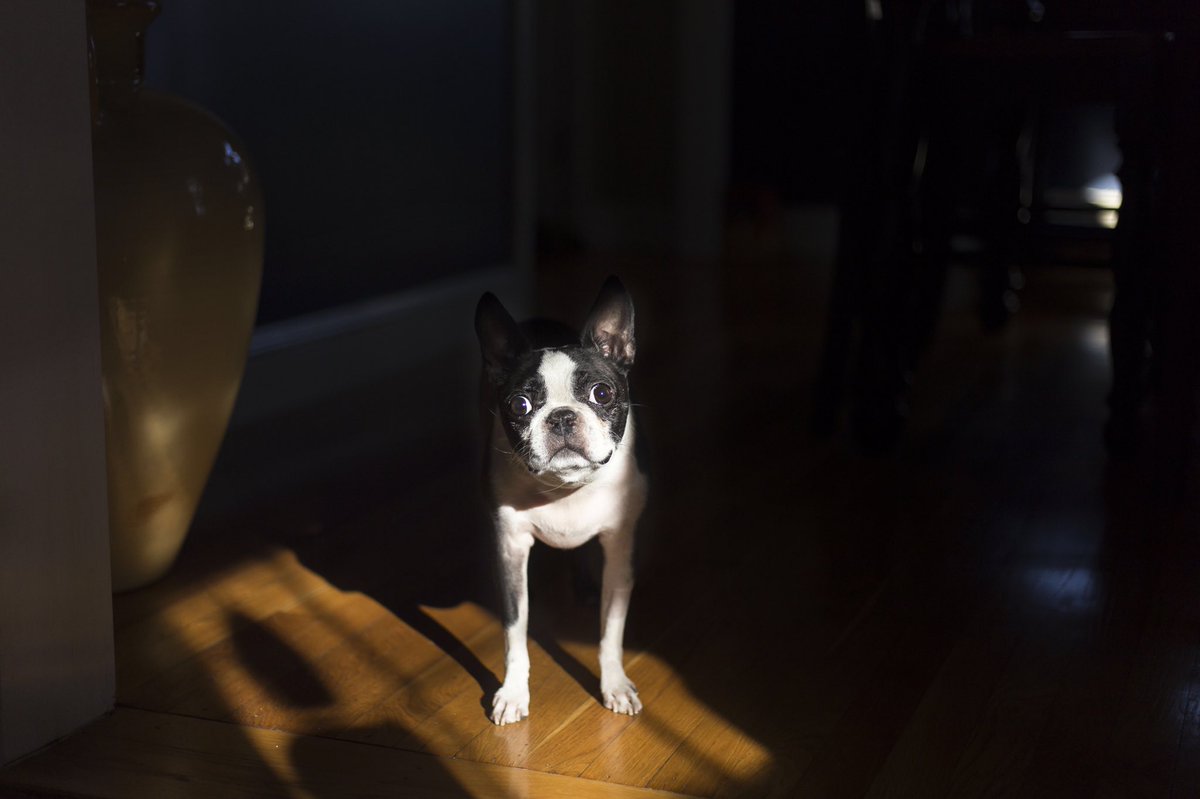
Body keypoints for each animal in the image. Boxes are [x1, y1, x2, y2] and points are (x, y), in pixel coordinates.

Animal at [475, 277, 648, 724]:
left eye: (602, 393)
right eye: (519, 404)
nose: (562, 416)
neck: (565, 488)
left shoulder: (620, 552)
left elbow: (610, 632)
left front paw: (614, 685)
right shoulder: (510, 551)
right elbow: (514, 634)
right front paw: (513, 693)